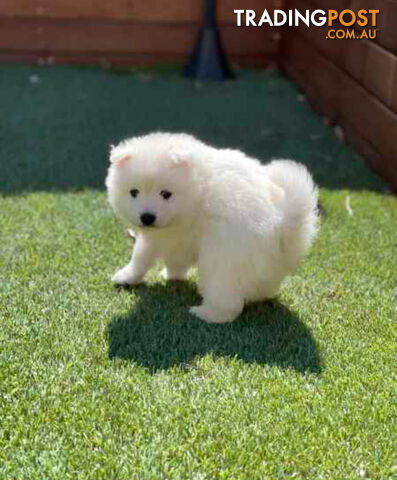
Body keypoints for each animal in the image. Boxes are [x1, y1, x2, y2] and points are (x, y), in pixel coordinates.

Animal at [106, 133, 318, 324]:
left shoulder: (169, 236)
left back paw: (204, 314)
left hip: (220, 264)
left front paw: (127, 276)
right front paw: (168, 274)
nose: (147, 217)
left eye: (166, 194)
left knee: (228, 305)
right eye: (133, 192)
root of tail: (282, 231)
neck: (197, 191)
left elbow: (141, 256)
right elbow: (161, 258)